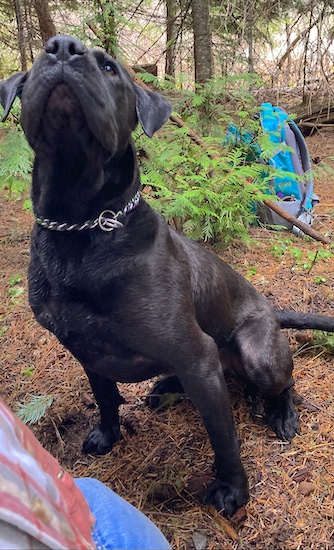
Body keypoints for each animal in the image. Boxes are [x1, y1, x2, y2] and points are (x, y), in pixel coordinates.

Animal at [0, 36, 334, 520]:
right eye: (42, 56)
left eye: (109, 67)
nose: (63, 47)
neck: (82, 227)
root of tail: (272, 312)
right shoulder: (86, 350)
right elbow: (105, 398)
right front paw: (107, 434)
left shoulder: (196, 357)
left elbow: (223, 439)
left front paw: (232, 491)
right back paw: (166, 387)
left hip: (258, 355)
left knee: (283, 383)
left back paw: (281, 413)